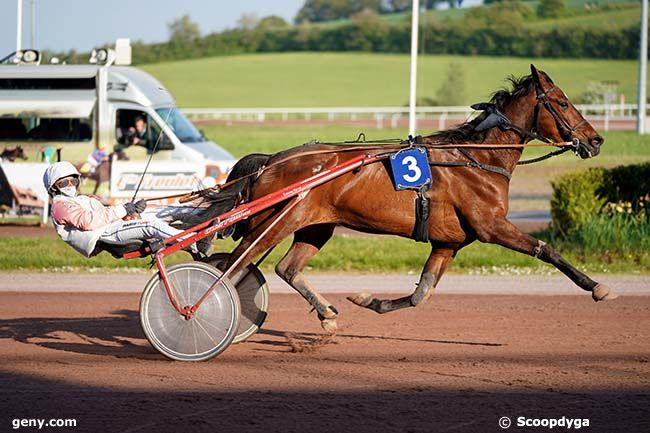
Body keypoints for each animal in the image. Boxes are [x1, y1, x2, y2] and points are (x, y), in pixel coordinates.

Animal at [214, 65, 612, 334]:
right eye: (562, 102)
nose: (595, 141)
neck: (477, 158)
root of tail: (270, 160)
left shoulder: (448, 242)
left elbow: (422, 292)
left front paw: (369, 300)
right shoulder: (491, 226)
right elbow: (546, 249)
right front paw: (596, 287)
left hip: (314, 226)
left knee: (285, 268)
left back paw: (326, 314)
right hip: (272, 225)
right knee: (232, 267)